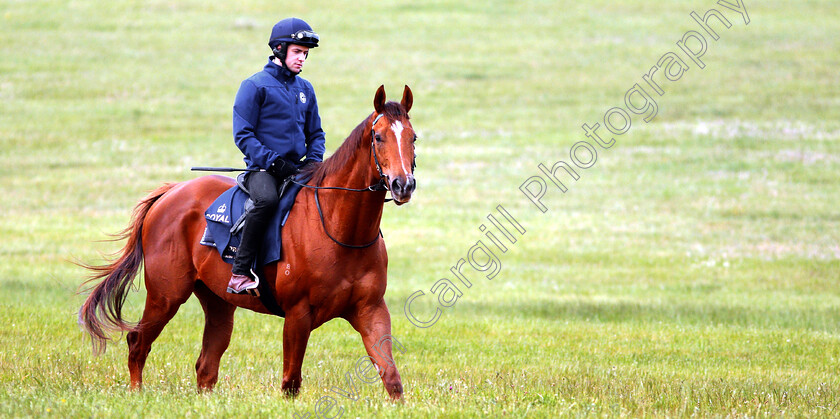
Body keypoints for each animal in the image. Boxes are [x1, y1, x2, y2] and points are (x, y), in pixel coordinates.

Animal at [80, 85, 416, 400]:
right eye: (378, 137)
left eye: (413, 138)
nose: (403, 185)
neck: (340, 229)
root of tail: (172, 192)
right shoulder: (297, 315)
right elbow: (290, 383)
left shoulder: (371, 310)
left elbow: (392, 378)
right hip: (166, 296)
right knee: (138, 343)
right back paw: (136, 393)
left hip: (217, 304)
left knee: (206, 366)